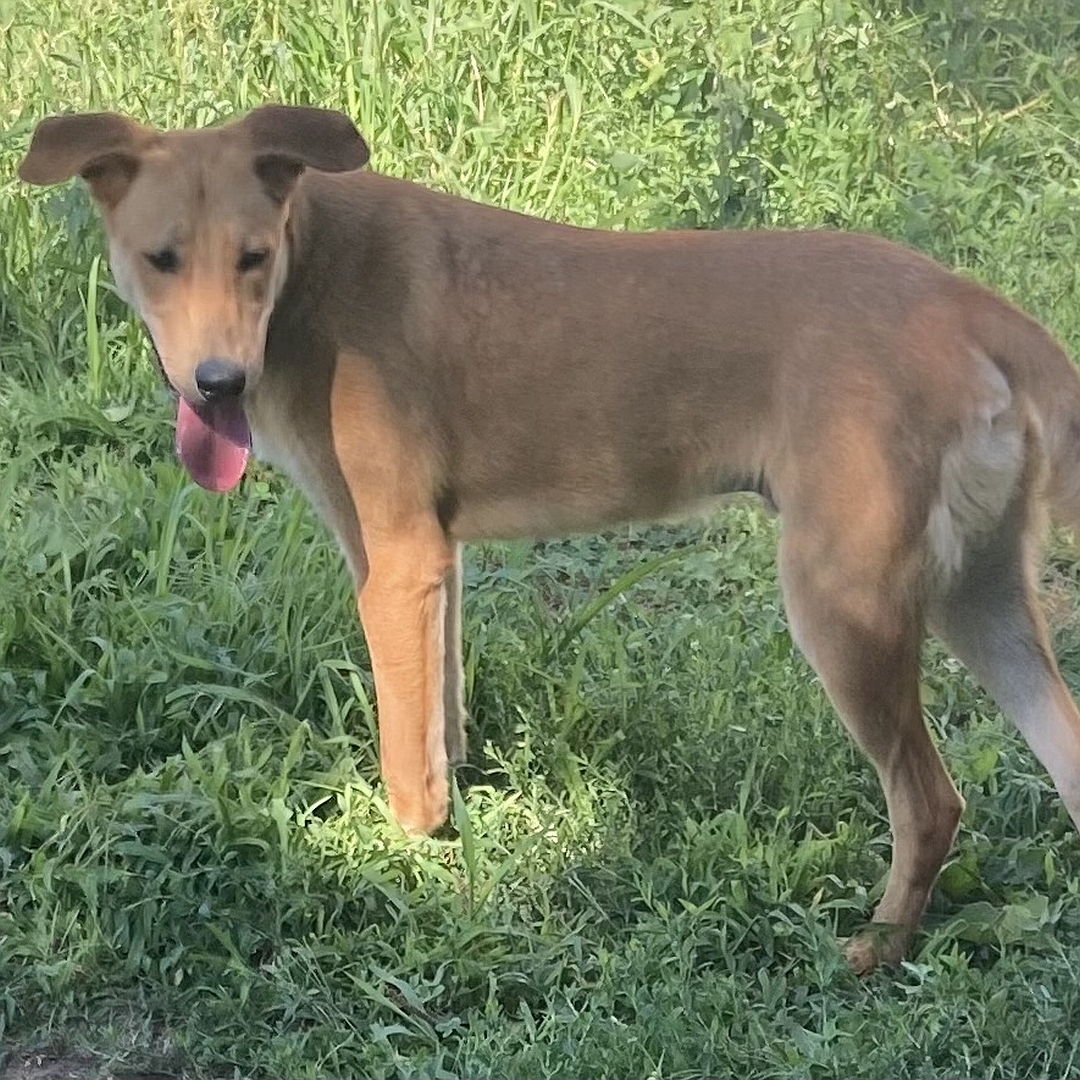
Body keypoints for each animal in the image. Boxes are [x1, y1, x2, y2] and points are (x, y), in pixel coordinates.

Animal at [19, 105, 1080, 976]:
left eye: (250, 256)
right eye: (161, 259)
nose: (219, 385)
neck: (310, 268)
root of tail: (975, 304)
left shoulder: (394, 563)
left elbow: (405, 757)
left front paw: (403, 867)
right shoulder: (429, 563)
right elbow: (439, 716)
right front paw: (456, 818)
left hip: (846, 603)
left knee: (930, 802)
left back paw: (878, 947)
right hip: (979, 598)